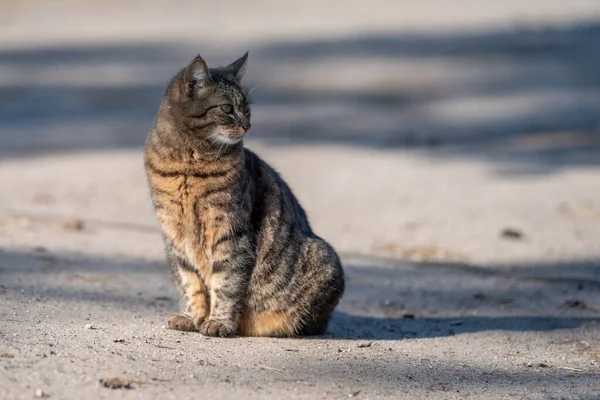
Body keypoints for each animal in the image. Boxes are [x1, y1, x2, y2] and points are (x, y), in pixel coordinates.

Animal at [142, 51, 344, 336]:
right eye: (227, 109)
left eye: (248, 108)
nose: (248, 125)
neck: (188, 163)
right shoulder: (176, 237)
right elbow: (192, 283)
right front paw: (192, 318)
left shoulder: (230, 231)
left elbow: (226, 281)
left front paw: (218, 322)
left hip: (325, 259)